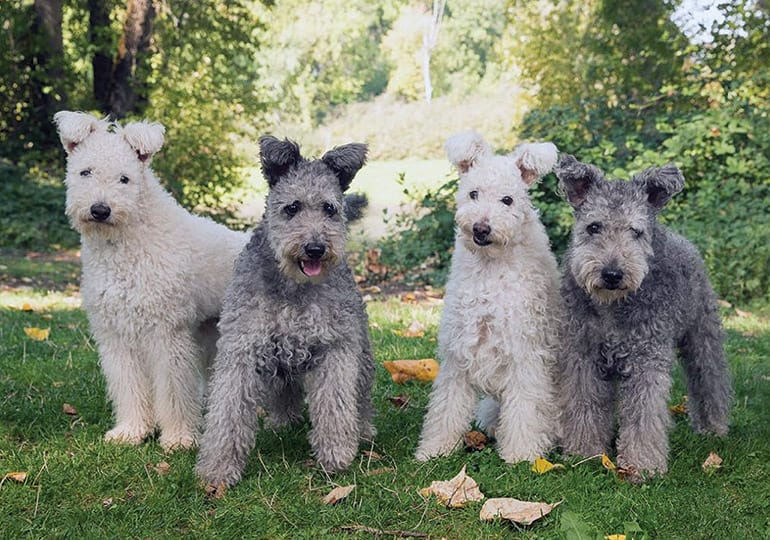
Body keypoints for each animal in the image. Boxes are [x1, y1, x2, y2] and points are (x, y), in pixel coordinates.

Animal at [55, 110, 248, 452]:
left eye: (124, 178)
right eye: (85, 172)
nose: (100, 210)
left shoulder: (167, 334)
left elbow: (173, 391)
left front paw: (179, 439)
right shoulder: (117, 336)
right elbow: (129, 386)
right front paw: (131, 431)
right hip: (209, 334)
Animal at [195, 136, 376, 490]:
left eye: (329, 209)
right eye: (292, 207)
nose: (315, 249)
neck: (293, 288)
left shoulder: (335, 349)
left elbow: (335, 403)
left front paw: (335, 453)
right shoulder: (242, 349)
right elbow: (228, 411)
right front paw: (218, 469)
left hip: (359, 354)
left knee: (358, 396)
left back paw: (361, 429)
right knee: (284, 391)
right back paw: (283, 421)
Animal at [416, 131, 560, 464]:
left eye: (507, 200)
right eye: (473, 193)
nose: (481, 228)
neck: (489, 269)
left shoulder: (525, 354)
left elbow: (525, 409)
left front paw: (521, 453)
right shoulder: (458, 352)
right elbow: (446, 407)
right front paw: (436, 448)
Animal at [556, 154, 728, 478]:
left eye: (635, 231)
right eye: (594, 226)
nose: (612, 274)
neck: (612, 307)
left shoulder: (646, 362)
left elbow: (643, 415)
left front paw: (642, 465)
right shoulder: (583, 359)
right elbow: (585, 406)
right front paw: (584, 452)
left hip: (701, 338)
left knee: (710, 381)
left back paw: (714, 426)